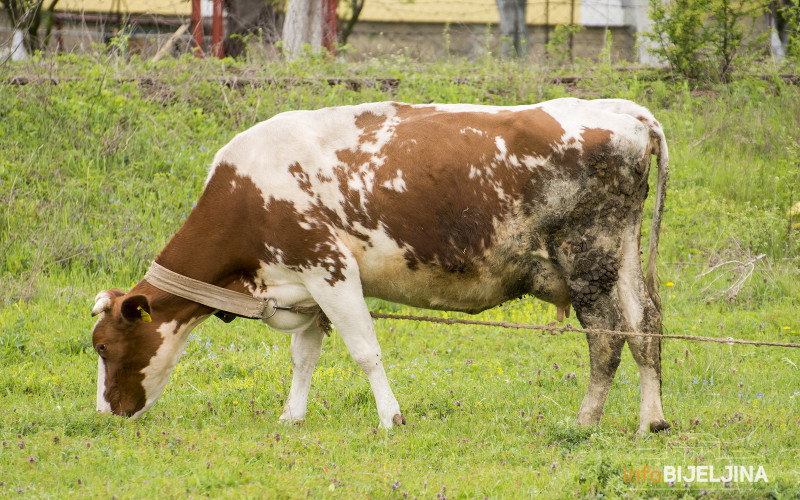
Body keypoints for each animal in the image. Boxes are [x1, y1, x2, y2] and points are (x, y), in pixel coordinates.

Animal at [90, 97, 672, 434]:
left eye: (103, 347)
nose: (104, 412)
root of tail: (626, 111)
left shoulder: (328, 268)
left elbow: (365, 351)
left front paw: (391, 417)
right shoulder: (307, 284)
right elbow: (305, 355)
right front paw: (292, 416)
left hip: (587, 255)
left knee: (607, 338)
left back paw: (584, 422)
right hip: (622, 256)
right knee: (646, 329)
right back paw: (651, 421)